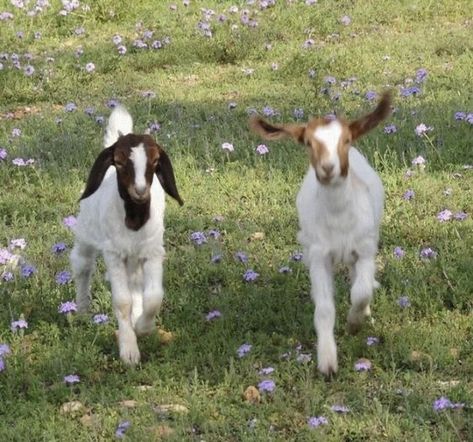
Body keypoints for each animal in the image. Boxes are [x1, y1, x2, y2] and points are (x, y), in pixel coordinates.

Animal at [71, 104, 183, 366]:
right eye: (119, 163)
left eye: (155, 161)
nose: (140, 191)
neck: (134, 221)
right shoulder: (113, 254)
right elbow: (122, 301)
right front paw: (129, 350)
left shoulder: (153, 252)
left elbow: (154, 296)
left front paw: (142, 327)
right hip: (86, 234)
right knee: (82, 266)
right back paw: (82, 310)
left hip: (135, 258)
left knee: (136, 284)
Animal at [251, 93, 390, 376]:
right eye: (308, 143)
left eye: (346, 140)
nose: (328, 168)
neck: (338, 218)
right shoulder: (318, 255)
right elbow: (324, 309)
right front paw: (327, 362)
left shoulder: (365, 248)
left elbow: (360, 292)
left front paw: (354, 323)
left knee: (358, 280)